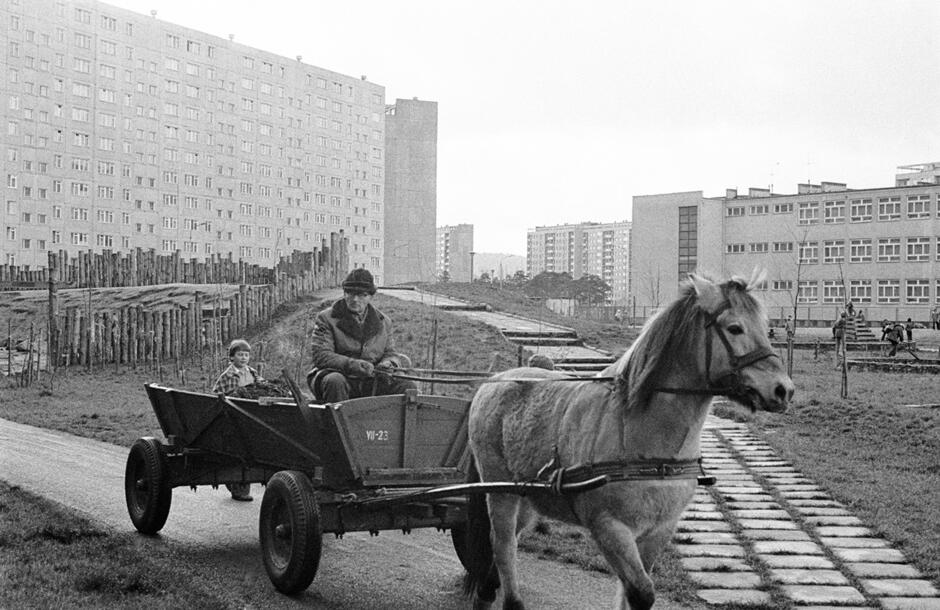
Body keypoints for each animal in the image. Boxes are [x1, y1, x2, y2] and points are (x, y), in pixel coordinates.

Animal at [462, 274, 792, 608]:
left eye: (765, 327)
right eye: (735, 328)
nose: (783, 390)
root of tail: (493, 382)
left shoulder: (658, 531)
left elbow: (629, 592)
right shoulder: (609, 528)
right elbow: (640, 591)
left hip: (528, 497)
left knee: (507, 542)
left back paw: (487, 588)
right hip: (500, 491)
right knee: (502, 544)